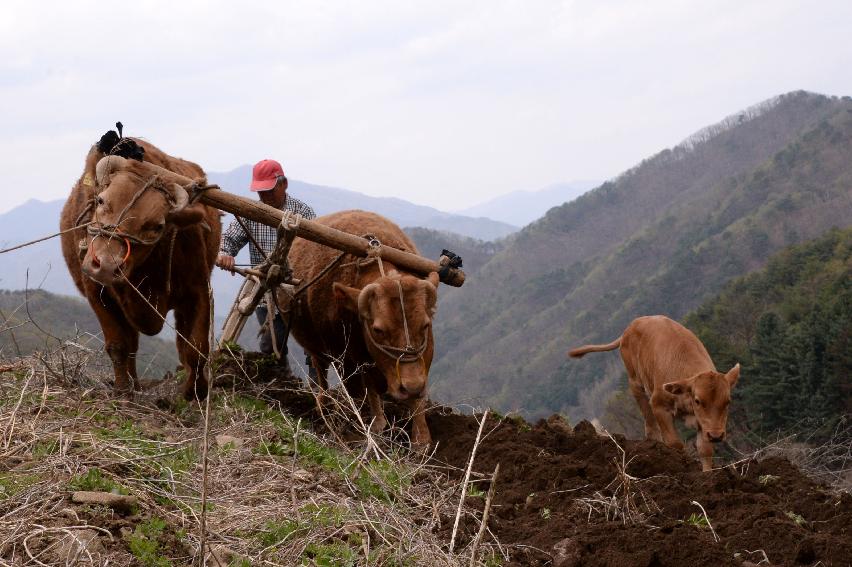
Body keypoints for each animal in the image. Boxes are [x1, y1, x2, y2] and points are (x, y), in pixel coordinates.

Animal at [568, 318, 744, 472]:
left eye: (727, 401)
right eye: (698, 400)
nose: (716, 435)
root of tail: (634, 324)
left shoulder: (704, 421)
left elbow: (705, 449)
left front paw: (707, 474)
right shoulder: (659, 405)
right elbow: (675, 443)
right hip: (634, 380)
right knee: (645, 409)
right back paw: (653, 439)